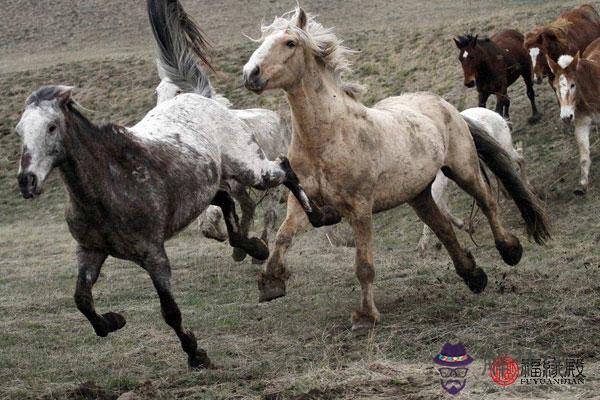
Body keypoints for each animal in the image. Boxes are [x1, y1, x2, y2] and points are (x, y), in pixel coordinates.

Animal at [15, 86, 342, 368]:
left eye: (51, 127)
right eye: (19, 130)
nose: (26, 180)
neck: (114, 182)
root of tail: (207, 101)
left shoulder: (153, 255)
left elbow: (170, 311)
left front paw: (196, 354)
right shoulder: (90, 251)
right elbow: (82, 299)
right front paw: (112, 322)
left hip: (250, 169)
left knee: (284, 169)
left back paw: (321, 217)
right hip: (212, 181)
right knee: (226, 200)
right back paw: (254, 248)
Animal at [149, 0, 292, 262]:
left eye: (178, 91)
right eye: (158, 91)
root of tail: (275, 117)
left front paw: (234, 239)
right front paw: (221, 234)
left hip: (268, 183)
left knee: (269, 213)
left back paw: (258, 249)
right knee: (251, 207)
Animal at [241, 7, 552, 332]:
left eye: (290, 43)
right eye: (263, 40)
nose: (251, 74)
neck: (329, 134)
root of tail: (448, 107)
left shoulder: (360, 207)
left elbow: (364, 265)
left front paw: (366, 317)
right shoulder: (301, 201)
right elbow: (283, 237)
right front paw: (271, 282)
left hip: (463, 169)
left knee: (488, 202)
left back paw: (509, 250)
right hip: (418, 194)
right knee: (442, 228)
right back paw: (473, 276)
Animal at [548, 39, 600, 196]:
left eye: (572, 85)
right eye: (555, 88)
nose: (566, 117)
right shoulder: (582, 124)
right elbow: (583, 155)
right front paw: (582, 184)